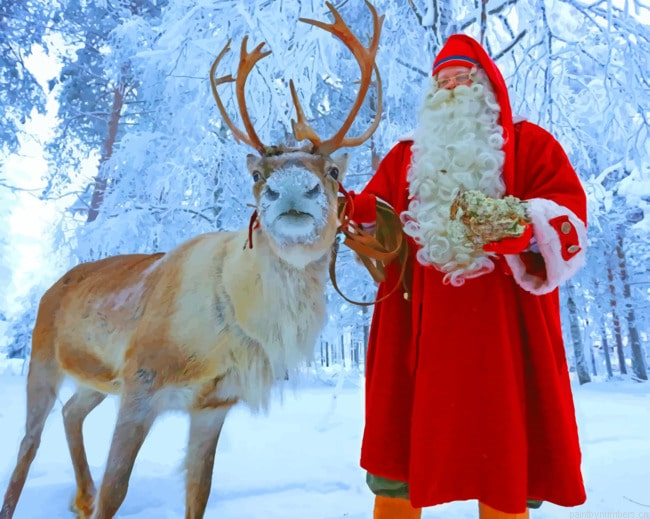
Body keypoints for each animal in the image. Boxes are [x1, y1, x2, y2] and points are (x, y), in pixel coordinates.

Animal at [0, 2, 384, 518]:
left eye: (334, 171)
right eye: (258, 175)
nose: (290, 189)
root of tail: (52, 285)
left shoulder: (213, 405)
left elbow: (199, 493)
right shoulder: (141, 383)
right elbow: (116, 492)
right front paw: (102, 497)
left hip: (96, 380)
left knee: (70, 411)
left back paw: (80, 497)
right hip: (43, 358)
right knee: (28, 443)